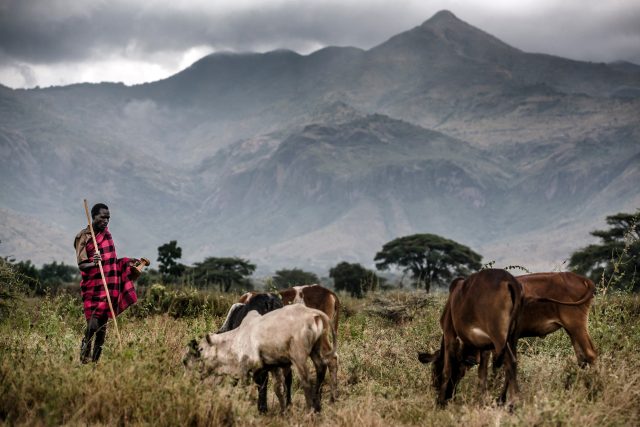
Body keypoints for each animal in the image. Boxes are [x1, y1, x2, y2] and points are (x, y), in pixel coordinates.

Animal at [182, 304, 336, 414]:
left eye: (201, 349)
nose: (188, 382)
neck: (236, 339)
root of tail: (313, 313)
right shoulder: (271, 366)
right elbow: (277, 389)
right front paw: (283, 411)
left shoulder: (248, 367)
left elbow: (247, 389)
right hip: (316, 349)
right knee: (322, 367)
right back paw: (319, 406)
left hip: (299, 356)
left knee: (307, 381)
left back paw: (310, 409)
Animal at [418, 270, 524, 408]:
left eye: (435, 369)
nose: (449, 396)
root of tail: (510, 282)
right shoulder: (484, 347)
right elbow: (482, 373)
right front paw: (483, 400)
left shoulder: (448, 332)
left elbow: (447, 369)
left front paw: (439, 402)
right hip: (512, 337)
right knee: (511, 363)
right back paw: (504, 400)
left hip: (499, 338)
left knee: (510, 362)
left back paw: (512, 402)